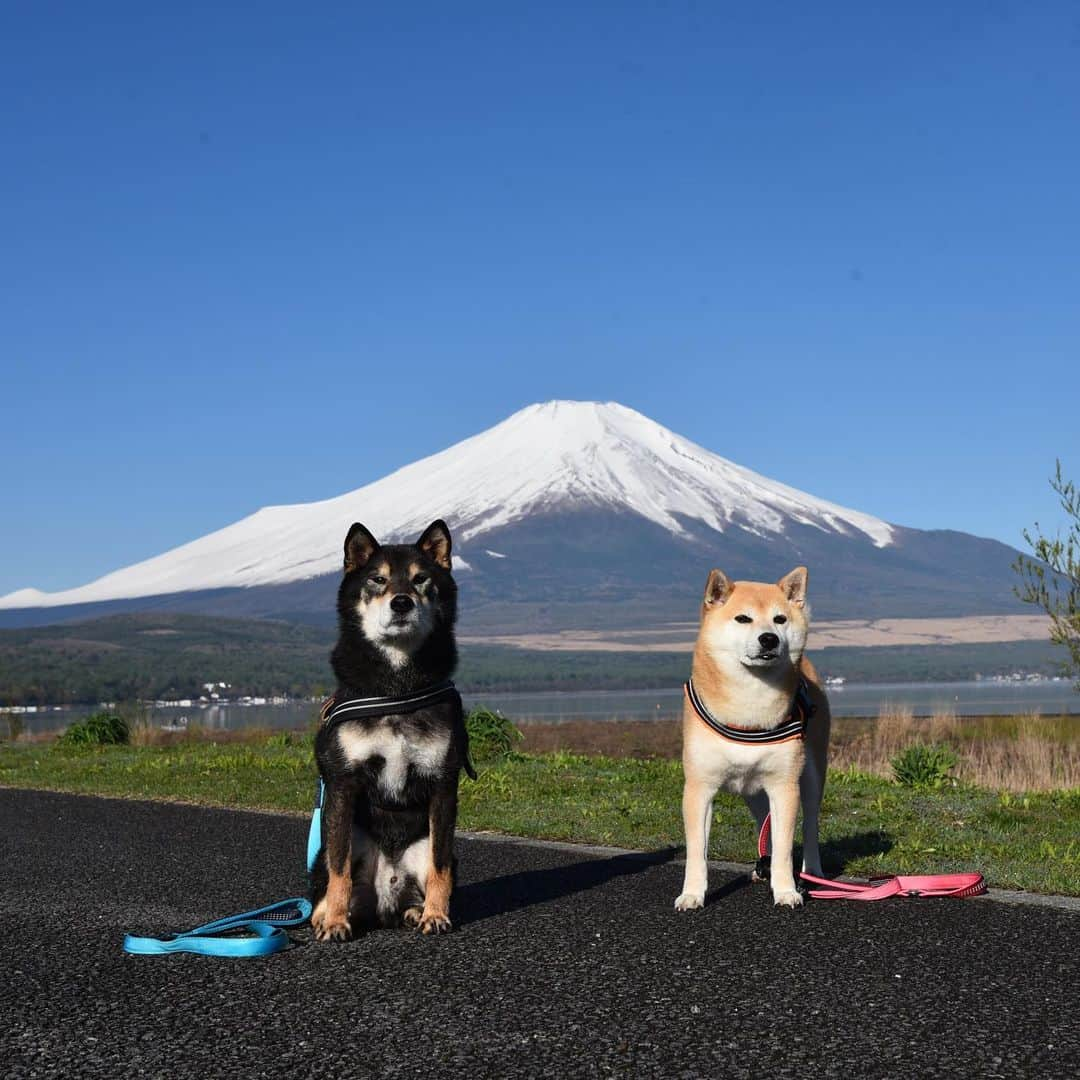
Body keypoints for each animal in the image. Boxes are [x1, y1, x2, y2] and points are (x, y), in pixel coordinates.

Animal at [308, 518, 468, 941]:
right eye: (378, 579)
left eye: (420, 579)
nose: (401, 602)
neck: (396, 689)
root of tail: (382, 906)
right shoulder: (342, 782)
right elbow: (339, 869)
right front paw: (334, 921)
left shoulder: (443, 783)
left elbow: (440, 867)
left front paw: (436, 915)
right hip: (331, 846)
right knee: (330, 878)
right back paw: (326, 914)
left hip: (425, 849)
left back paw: (415, 911)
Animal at [673, 565, 825, 911]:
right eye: (743, 618)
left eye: (779, 619)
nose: (769, 638)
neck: (749, 708)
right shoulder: (699, 787)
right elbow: (696, 852)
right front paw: (692, 893)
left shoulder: (784, 786)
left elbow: (785, 849)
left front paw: (786, 890)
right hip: (751, 791)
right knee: (762, 821)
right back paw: (761, 866)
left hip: (811, 777)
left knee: (810, 825)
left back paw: (812, 873)